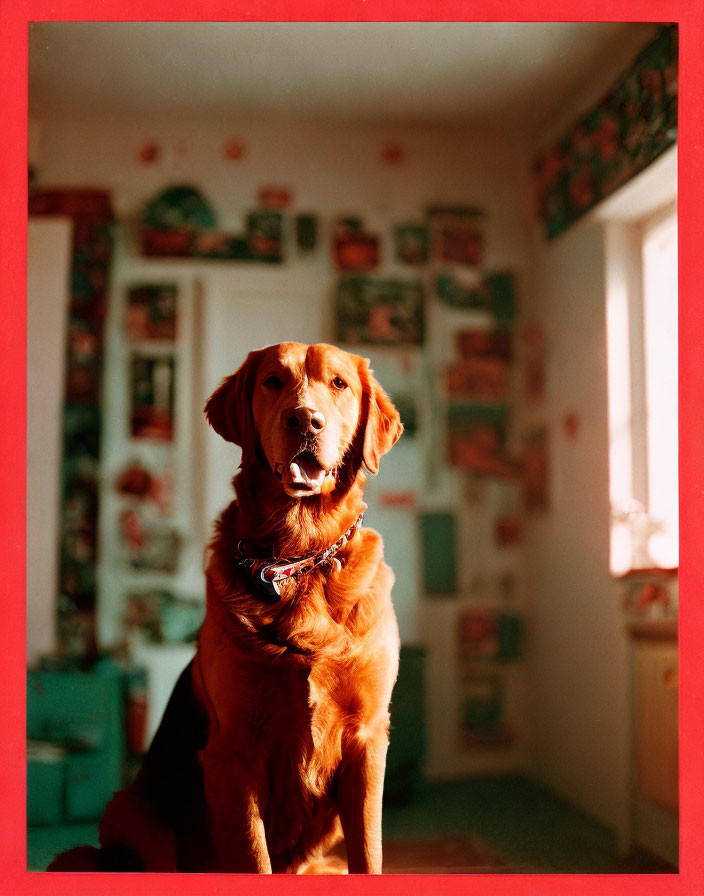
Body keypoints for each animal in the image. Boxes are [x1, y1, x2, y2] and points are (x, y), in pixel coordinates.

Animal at [49, 340, 402, 872]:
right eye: (273, 381)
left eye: (339, 384)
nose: (306, 421)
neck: (299, 561)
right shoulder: (233, 752)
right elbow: (253, 856)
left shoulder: (368, 741)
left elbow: (369, 853)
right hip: (127, 813)